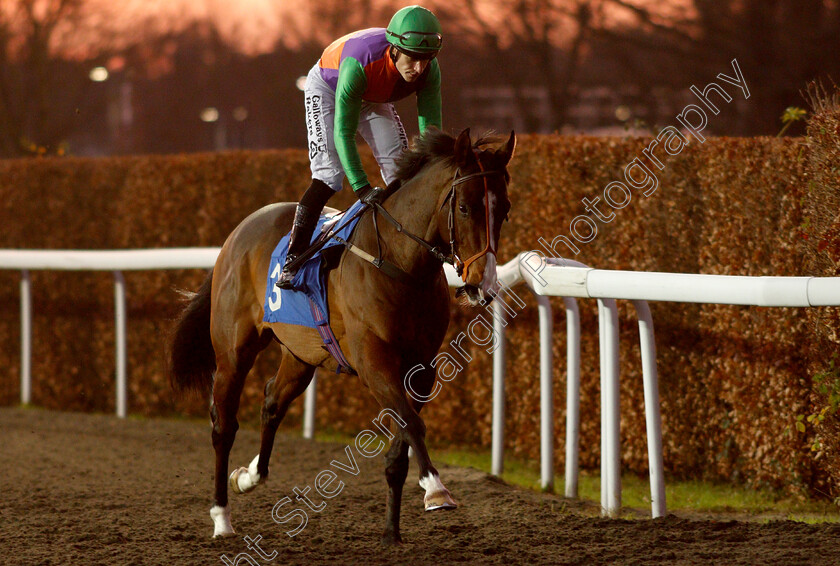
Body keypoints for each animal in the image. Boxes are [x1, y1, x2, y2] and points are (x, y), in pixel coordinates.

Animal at [168, 127, 516, 544]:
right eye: (464, 208)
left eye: (505, 209)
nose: (484, 284)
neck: (400, 263)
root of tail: (238, 232)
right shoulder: (373, 361)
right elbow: (412, 425)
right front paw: (436, 490)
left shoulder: (421, 367)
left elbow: (401, 439)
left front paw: (392, 531)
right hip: (234, 351)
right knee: (224, 424)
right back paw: (221, 517)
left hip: (302, 355)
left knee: (272, 400)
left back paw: (250, 476)